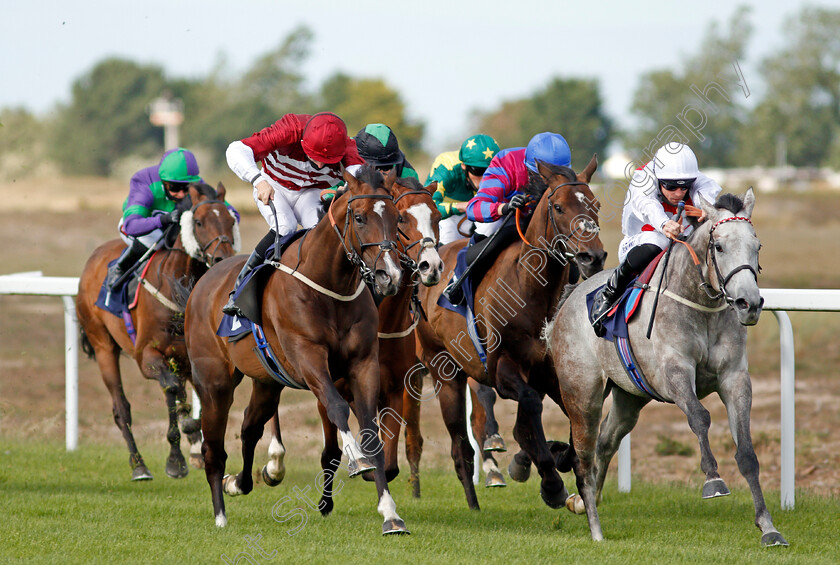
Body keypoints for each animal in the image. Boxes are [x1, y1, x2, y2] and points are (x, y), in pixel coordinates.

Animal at [76, 182, 240, 480]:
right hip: (103, 344)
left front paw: (194, 442)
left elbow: (196, 399)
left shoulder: (193, 357)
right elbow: (172, 390)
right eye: (199, 222)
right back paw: (139, 465)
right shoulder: (147, 356)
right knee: (122, 409)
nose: (223, 258)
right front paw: (175, 460)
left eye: (231, 220)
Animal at [185, 166, 410, 532]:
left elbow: (372, 434)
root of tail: (205, 280)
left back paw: (240, 482)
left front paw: (390, 514)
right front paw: (356, 460)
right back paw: (220, 515)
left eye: (397, 217)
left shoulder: (364, 363)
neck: (330, 286)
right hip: (213, 382)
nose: (389, 276)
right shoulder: (309, 358)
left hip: (266, 382)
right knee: (213, 450)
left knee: (249, 427)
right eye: (360, 218)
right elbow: (337, 407)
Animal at [414, 159, 604, 512]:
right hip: (444, 371)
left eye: (595, 205)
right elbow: (528, 409)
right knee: (460, 445)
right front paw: (551, 482)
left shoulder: (550, 371)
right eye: (559, 207)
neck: (531, 289)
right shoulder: (502, 369)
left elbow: (572, 421)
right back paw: (474, 502)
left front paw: (557, 457)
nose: (593, 257)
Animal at [544, 189, 788, 548]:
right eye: (719, 247)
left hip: (629, 397)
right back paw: (595, 527)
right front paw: (713, 480)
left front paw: (768, 527)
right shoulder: (675, 372)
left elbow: (747, 453)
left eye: (757, 246)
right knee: (584, 455)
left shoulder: (735, 378)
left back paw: (581, 503)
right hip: (581, 394)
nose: (750, 304)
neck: (701, 305)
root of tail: (569, 299)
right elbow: (699, 417)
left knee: (606, 441)